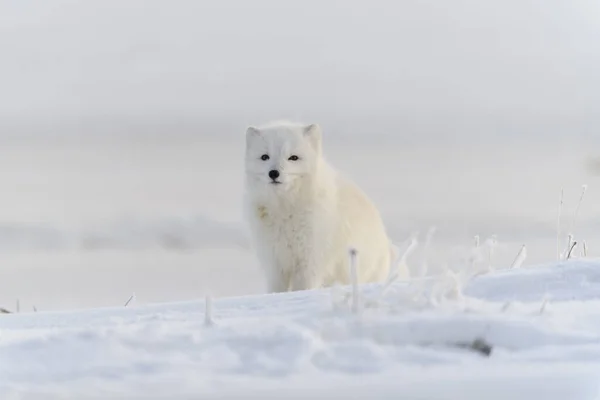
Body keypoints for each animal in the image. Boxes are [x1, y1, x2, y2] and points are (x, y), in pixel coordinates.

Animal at [241, 120, 396, 292]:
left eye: (293, 158)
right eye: (264, 157)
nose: (273, 173)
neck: (285, 209)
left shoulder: (310, 261)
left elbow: (304, 288)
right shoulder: (274, 263)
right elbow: (276, 290)